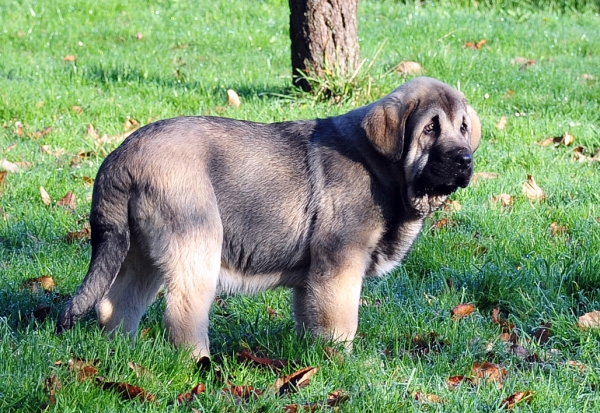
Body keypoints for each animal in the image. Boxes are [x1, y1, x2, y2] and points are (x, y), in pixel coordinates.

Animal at [57, 76, 482, 358]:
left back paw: (122, 352)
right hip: (197, 242)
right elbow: (341, 323)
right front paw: (341, 364)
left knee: (115, 304)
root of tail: (121, 156)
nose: (465, 159)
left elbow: (312, 320)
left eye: (463, 128)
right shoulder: (339, 264)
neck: (381, 169)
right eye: (430, 128)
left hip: (141, 251)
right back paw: (199, 365)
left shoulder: (314, 277)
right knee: (182, 314)